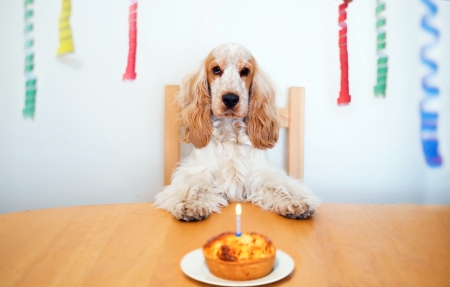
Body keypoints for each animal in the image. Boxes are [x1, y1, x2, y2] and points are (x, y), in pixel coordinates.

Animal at [153, 42, 318, 222]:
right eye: (216, 69)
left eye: (245, 71)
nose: (230, 99)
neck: (230, 131)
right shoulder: (196, 173)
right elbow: (198, 187)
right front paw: (191, 205)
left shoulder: (261, 174)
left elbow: (278, 187)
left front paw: (295, 202)